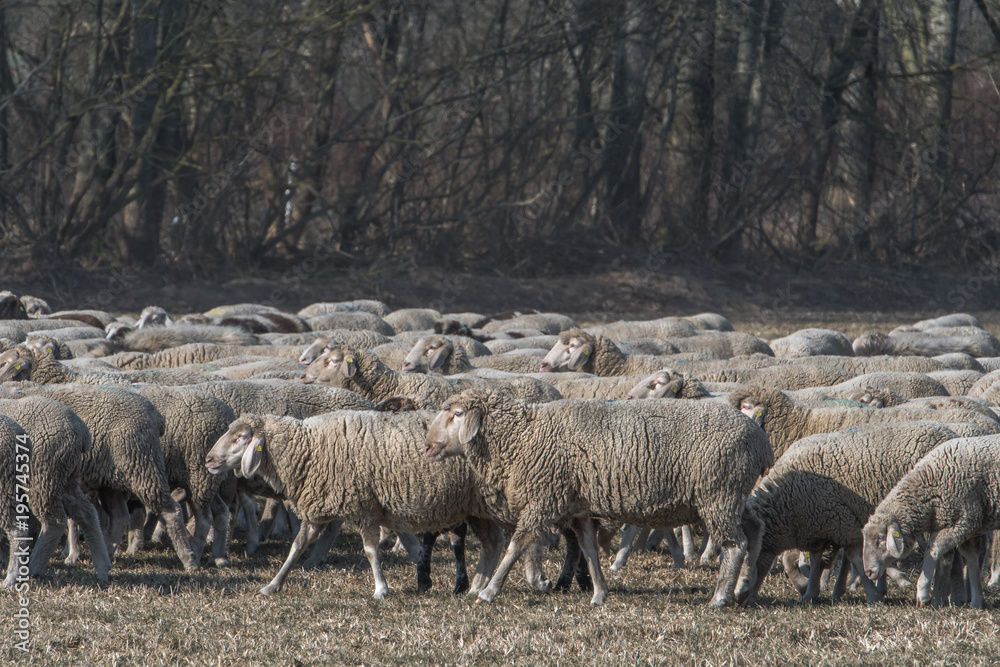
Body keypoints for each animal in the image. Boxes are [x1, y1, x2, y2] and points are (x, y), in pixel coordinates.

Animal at [0, 396, 110, 585]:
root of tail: (82, 431)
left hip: (41, 477)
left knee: (50, 522)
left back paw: (23, 573)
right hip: (67, 478)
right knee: (87, 513)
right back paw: (103, 568)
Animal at [204, 411, 507, 599]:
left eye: (241, 437)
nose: (208, 460)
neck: (309, 448)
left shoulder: (365, 508)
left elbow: (371, 551)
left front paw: (381, 589)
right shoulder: (317, 509)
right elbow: (296, 547)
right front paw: (273, 585)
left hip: (486, 502)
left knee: (496, 542)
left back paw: (482, 587)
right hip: (475, 507)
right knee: (492, 544)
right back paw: (477, 587)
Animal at [423, 389, 773, 606]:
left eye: (457, 414)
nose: (427, 446)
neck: (522, 437)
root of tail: (760, 440)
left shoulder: (542, 498)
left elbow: (516, 546)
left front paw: (489, 590)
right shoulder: (578, 508)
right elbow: (589, 551)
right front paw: (600, 594)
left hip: (718, 493)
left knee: (735, 544)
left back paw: (721, 597)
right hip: (731, 495)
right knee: (755, 529)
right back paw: (745, 587)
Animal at [736, 421, 981, 606]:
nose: (739, 599)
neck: (788, 503)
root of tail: (951, 434)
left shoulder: (843, 525)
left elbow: (856, 562)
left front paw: (872, 596)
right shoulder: (819, 528)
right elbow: (816, 563)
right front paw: (810, 594)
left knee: (947, 555)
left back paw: (944, 596)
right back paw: (955, 596)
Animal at [861, 434, 1000, 609]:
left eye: (881, 538)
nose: (869, 572)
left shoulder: (963, 521)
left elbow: (933, 548)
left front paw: (923, 593)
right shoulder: (968, 526)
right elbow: (972, 559)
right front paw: (976, 602)